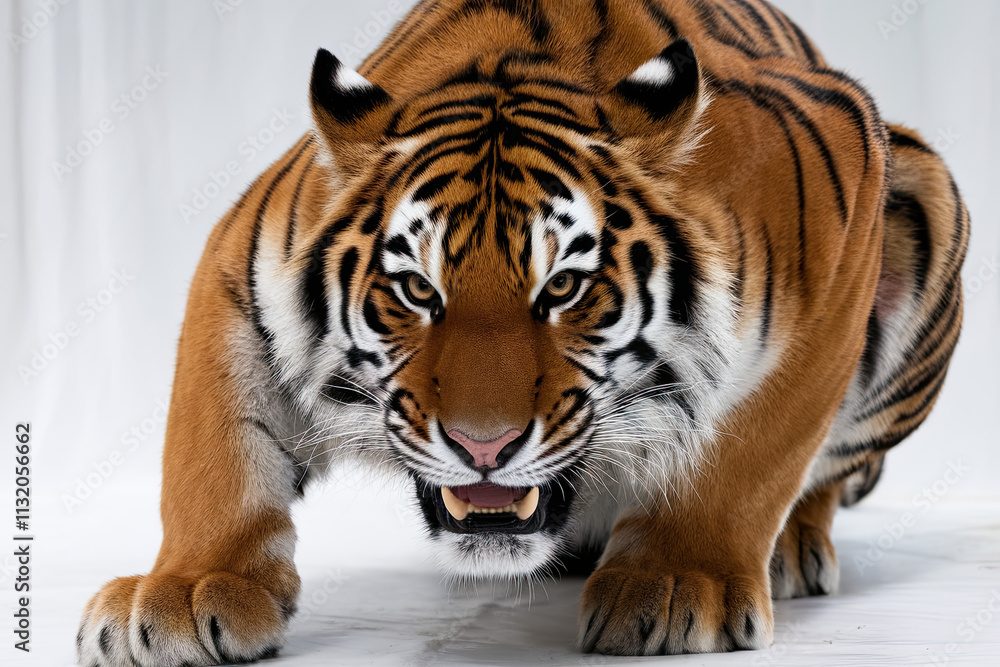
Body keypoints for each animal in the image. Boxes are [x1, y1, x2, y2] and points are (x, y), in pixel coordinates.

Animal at [77, 0, 970, 662]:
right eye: (416, 290)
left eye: (564, 288)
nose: (484, 447)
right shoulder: (242, 257)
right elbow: (209, 447)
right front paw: (185, 588)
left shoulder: (845, 213)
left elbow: (754, 444)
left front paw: (684, 579)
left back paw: (786, 550)